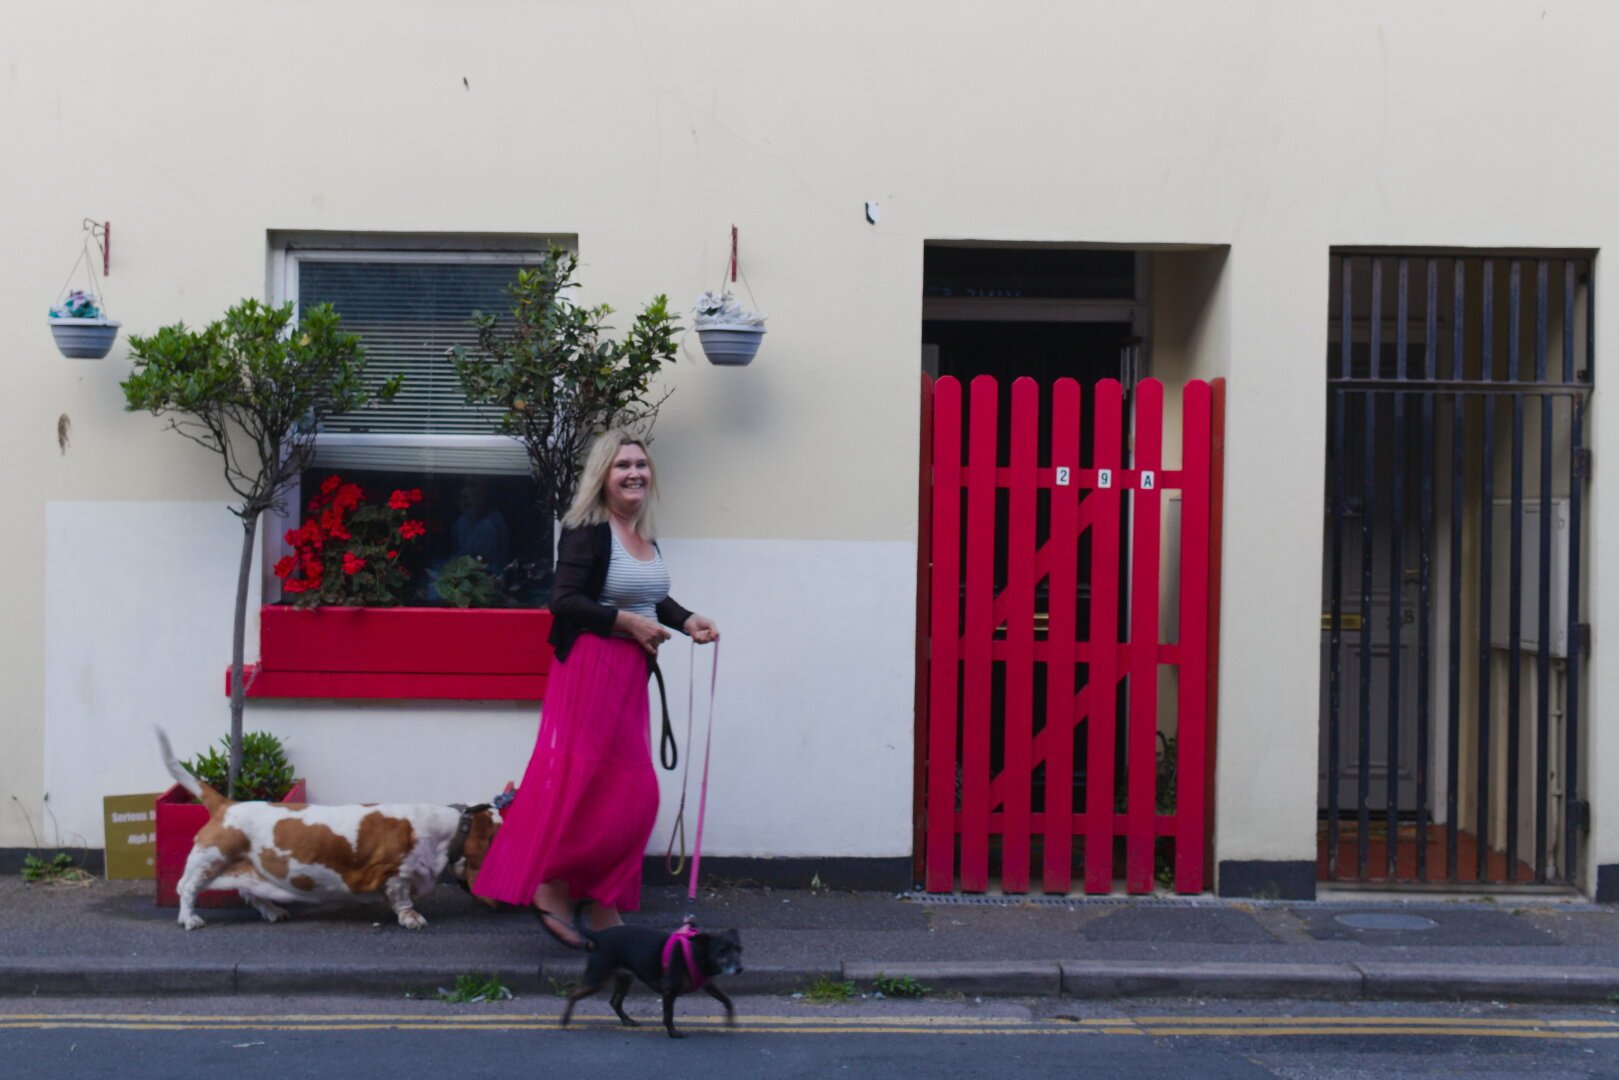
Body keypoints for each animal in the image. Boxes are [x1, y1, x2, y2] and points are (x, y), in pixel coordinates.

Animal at [158, 731, 501, 932]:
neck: (447, 830)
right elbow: (402, 900)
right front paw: (411, 919)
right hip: (209, 860)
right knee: (187, 888)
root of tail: (226, 805)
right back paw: (190, 919)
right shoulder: (397, 873)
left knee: (249, 893)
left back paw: (273, 911)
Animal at [560, 906, 741, 1036]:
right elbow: (668, 1015)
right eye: (722, 951)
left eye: (739, 949)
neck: (695, 951)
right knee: (574, 995)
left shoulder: (709, 985)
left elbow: (727, 1000)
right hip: (598, 979)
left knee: (614, 1001)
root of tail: (598, 936)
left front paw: (731, 1021)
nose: (739, 968)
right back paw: (564, 1020)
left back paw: (627, 1021)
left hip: (624, 979)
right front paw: (673, 1033)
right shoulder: (669, 991)